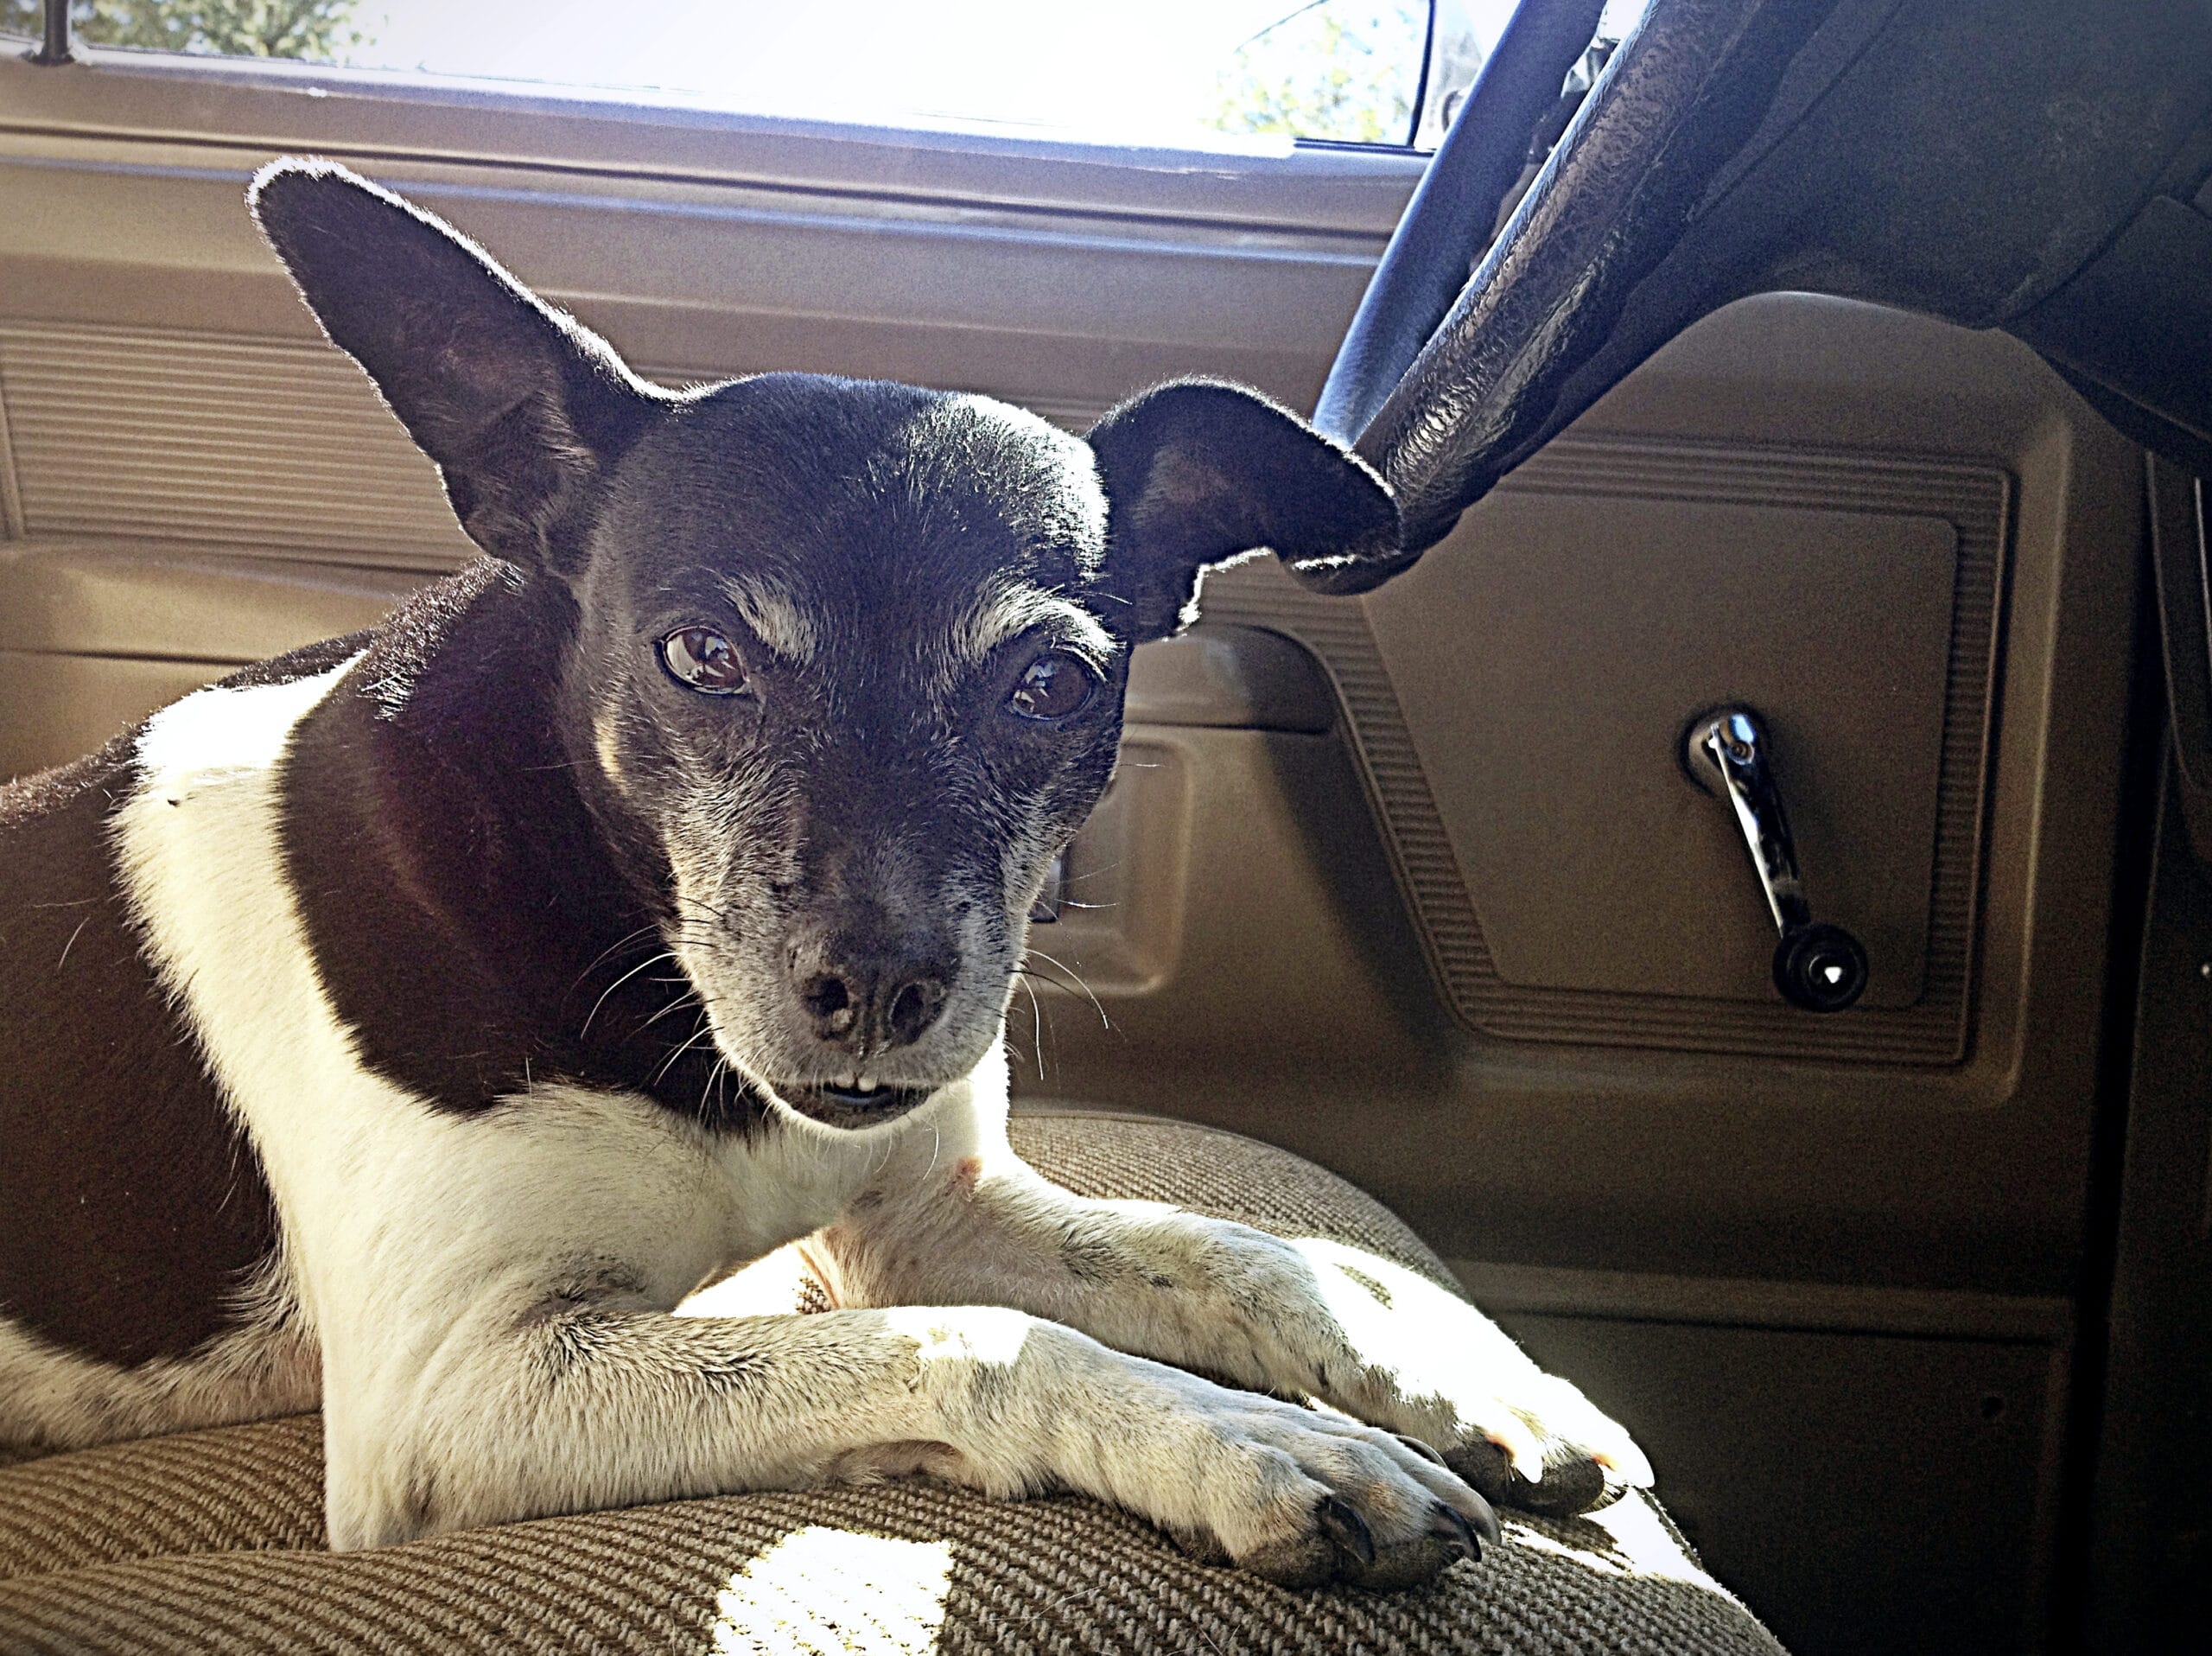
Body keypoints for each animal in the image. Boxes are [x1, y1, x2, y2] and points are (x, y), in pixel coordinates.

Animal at [0, 158, 1645, 1594]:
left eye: (1052, 683)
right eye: (701, 656)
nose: (880, 991)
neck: (638, 938)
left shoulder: (932, 1209)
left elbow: (1252, 1261)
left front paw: (1456, 1371)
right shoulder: (457, 1393)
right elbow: (979, 1341)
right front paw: (1247, 1443)